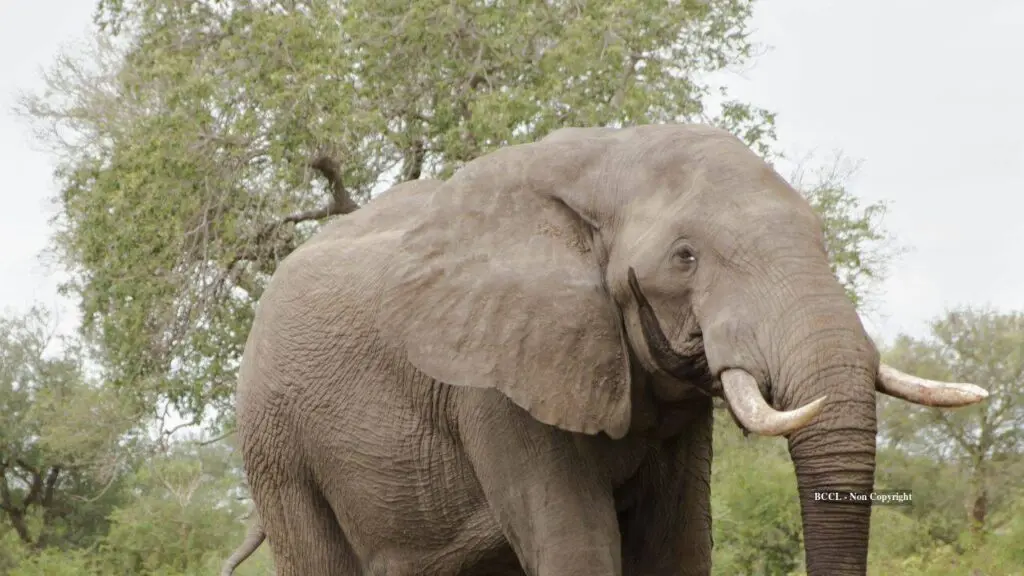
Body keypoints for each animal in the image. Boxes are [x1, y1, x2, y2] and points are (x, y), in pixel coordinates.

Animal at [227, 124, 988, 576]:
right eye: (685, 257)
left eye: (823, 239)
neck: (611, 160)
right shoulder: (494, 381)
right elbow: (577, 545)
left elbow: (677, 546)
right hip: (276, 442)